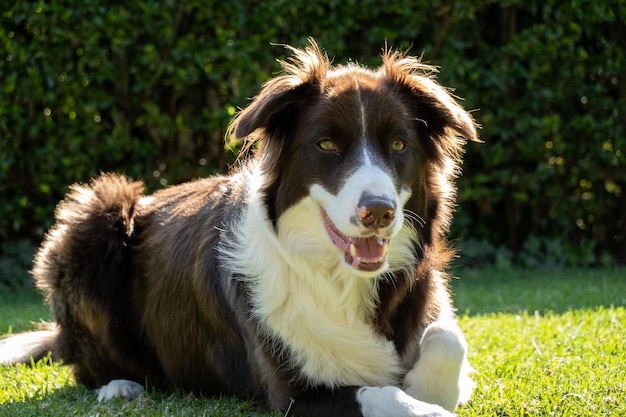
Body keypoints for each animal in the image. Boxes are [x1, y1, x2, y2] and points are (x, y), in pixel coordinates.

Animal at [0, 39, 478, 416]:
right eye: (325, 144)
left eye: (398, 145)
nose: (377, 212)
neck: (342, 281)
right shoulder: (293, 394)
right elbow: (382, 395)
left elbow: (447, 338)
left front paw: (425, 387)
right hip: (92, 218)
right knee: (87, 365)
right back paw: (119, 385)